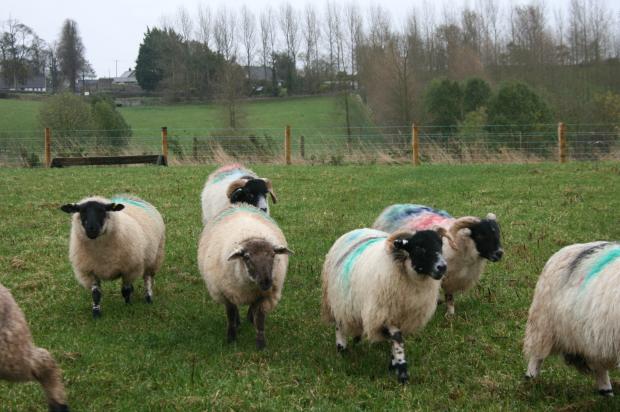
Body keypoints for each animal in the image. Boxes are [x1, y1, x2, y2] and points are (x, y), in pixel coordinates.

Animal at [200, 204, 294, 350]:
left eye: (273, 255)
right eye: (247, 257)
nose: (266, 282)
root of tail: (241, 204)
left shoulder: (264, 296)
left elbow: (260, 318)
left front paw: (261, 344)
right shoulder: (226, 293)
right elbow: (231, 315)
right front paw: (231, 338)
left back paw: (250, 318)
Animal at [320, 225, 450, 384]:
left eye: (441, 244)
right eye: (419, 247)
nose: (442, 267)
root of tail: (356, 230)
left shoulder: (402, 318)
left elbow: (394, 341)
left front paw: (394, 364)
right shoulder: (383, 314)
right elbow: (397, 338)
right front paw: (402, 372)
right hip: (339, 299)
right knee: (339, 324)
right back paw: (341, 348)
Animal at [370, 204, 502, 316]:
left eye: (497, 233)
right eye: (480, 235)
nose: (499, 253)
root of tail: (392, 207)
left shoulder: (452, 278)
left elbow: (449, 295)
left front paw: (450, 312)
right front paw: (448, 313)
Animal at [524, 241, 620, 396]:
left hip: (590, 338)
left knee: (599, 367)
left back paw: (606, 392)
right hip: (543, 324)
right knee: (537, 355)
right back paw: (530, 378)